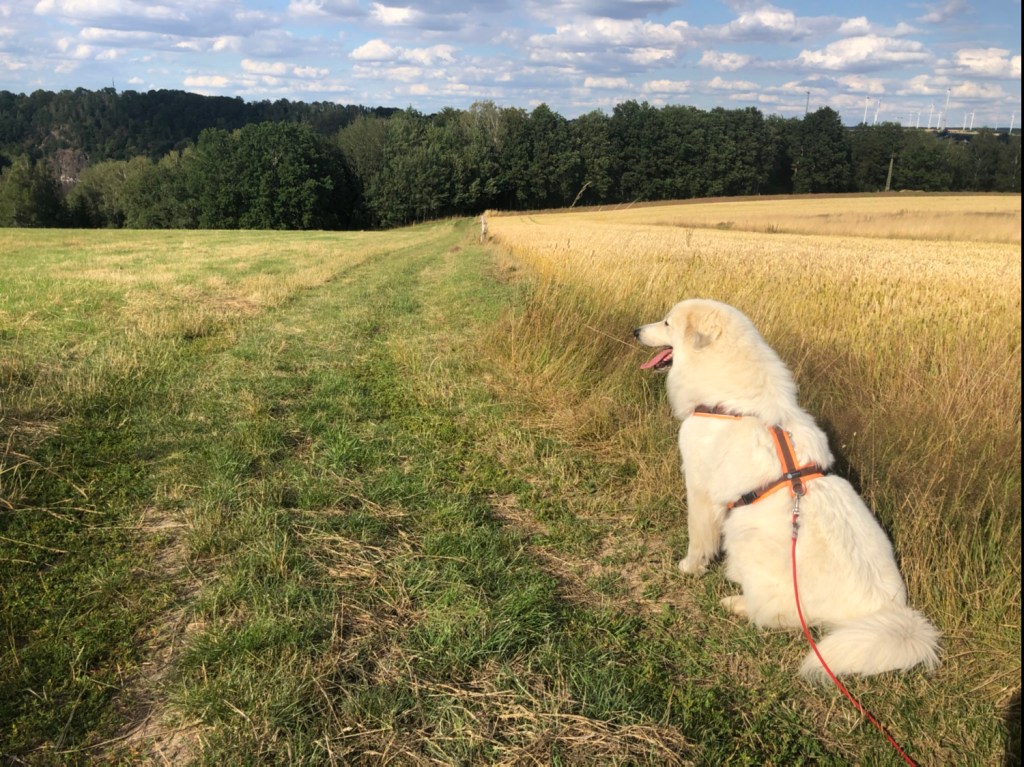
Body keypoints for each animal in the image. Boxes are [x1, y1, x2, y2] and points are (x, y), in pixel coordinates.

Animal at [635, 298, 940, 678]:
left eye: (666, 323)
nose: (635, 331)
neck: (730, 403)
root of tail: (883, 611)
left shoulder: (699, 489)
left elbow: (699, 538)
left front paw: (690, 567)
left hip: (746, 535)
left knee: (779, 616)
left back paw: (737, 602)